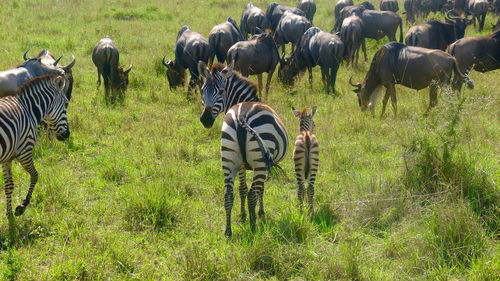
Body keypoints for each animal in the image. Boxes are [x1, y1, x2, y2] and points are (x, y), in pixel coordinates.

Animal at [0, 74, 71, 217]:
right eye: (66, 103)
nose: (67, 135)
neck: (28, 109)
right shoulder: (25, 152)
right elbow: (35, 175)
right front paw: (23, 205)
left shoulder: (6, 158)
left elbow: (9, 186)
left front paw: (9, 214)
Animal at [197, 61, 288, 236]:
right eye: (203, 91)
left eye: (220, 91)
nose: (205, 120)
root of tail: (241, 117)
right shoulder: (265, 163)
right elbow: (260, 189)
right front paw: (260, 213)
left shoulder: (241, 165)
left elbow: (242, 189)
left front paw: (243, 215)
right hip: (260, 162)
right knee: (253, 193)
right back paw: (253, 227)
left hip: (228, 157)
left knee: (228, 194)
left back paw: (228, 231)